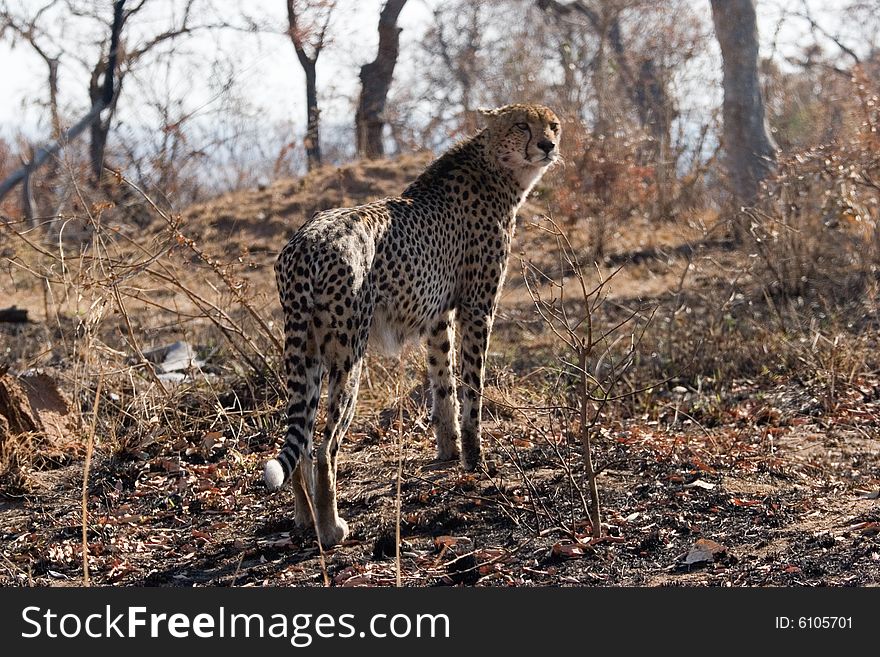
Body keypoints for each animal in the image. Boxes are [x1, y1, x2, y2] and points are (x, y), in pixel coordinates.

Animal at [264, 102, 560, 544]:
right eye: (521, 125)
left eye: (553, 125)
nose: (548, 145)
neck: (495, 169)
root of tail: (306, 242)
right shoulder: (477, 308)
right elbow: (471, 387)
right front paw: (476, 461)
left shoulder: (438, 315)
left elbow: (444, 384)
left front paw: (449, 452)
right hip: (348, 353)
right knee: (325, 447)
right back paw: (331, 528)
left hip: (306, 351)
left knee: (302, 439)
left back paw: (303, 518)